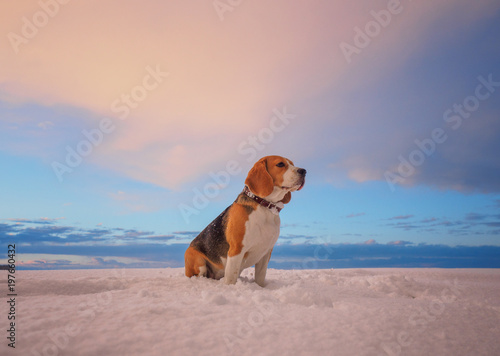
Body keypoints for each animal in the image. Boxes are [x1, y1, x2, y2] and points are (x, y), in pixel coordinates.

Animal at [186, 156, 306, 286]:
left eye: (292, 163)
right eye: (280, 164)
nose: (304, 171)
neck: (265, 207)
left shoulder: (266, 252)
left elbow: (260, 276)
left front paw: (260, 287)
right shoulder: (236, 249)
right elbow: (231, 278)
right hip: (197, 261)